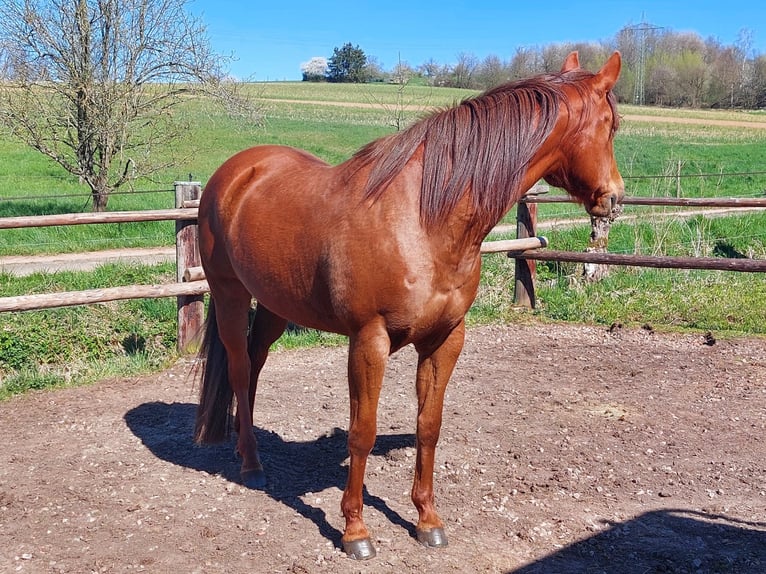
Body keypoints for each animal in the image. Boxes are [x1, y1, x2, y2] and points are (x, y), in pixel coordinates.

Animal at [194, 51, 624, 560]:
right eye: (610, 126)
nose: (614, 198)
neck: (424, 219)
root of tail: (235, 171)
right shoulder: (369, 341)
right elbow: (362, 433)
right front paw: (355, 531)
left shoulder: (446, 339)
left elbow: (428, 426)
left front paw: (427, 520)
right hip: (230, 294)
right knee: (240, 369)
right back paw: (251, 465)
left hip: (276, 304)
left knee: (256, 362)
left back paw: (249, 449)